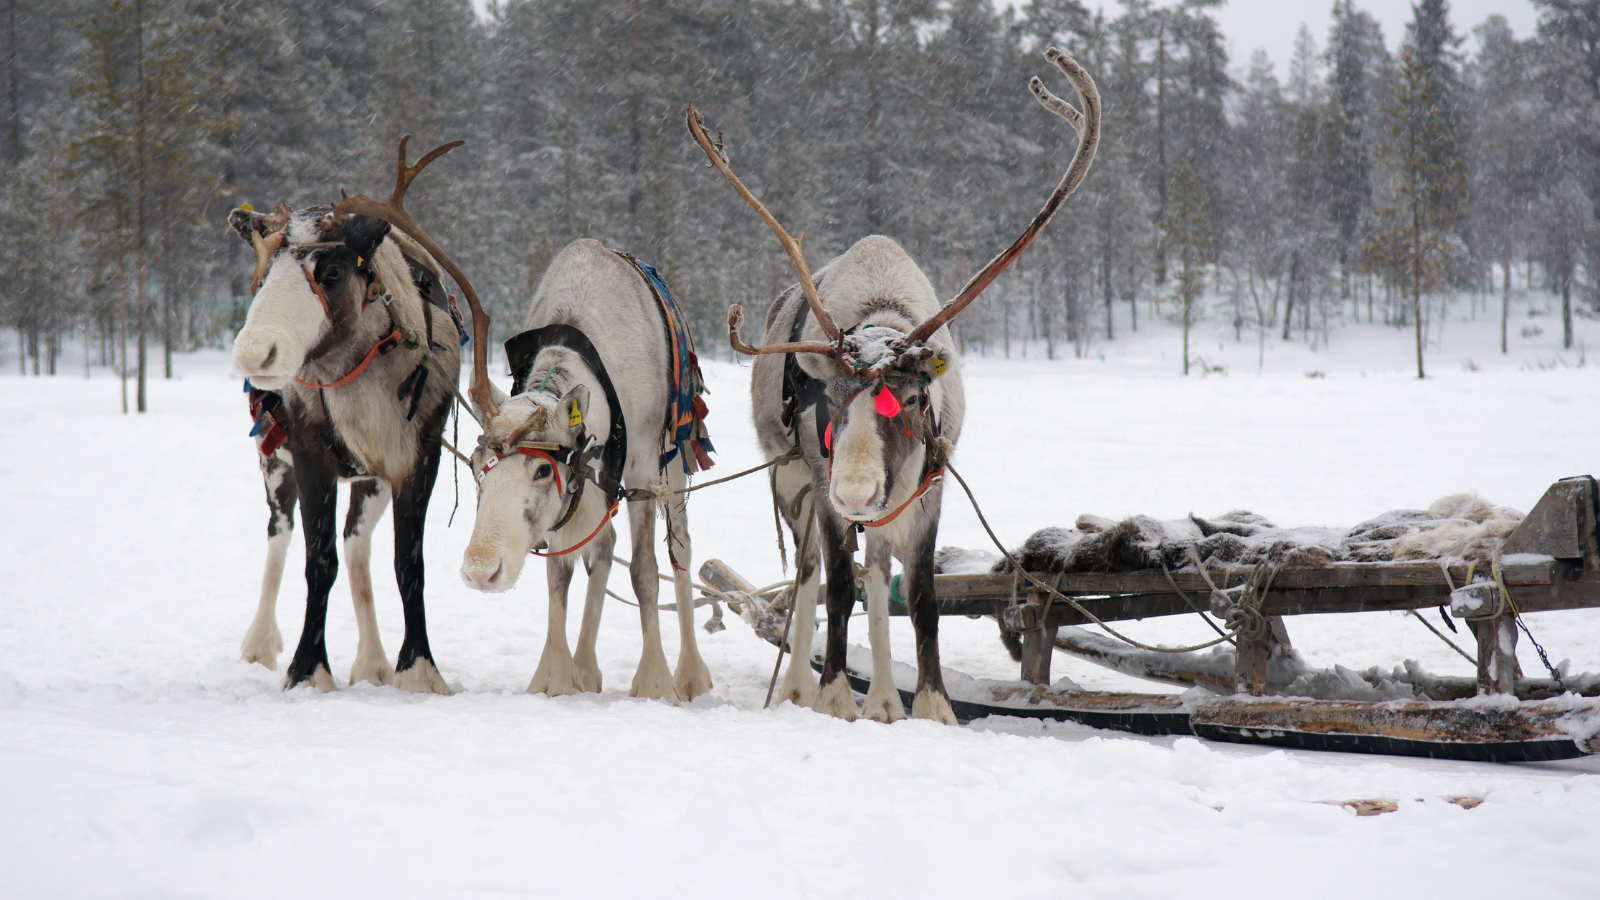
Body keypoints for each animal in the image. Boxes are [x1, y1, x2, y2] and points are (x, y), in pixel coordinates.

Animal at [228, 137, 498, 693]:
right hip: (274, 461)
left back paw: (372, 660)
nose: (253, 354)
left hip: (369, 479)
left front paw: (417, 668)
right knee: (279, 533)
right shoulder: (310, 451)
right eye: (262, 277)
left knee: (357, 546)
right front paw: (308, 669)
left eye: (330, 272)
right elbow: (317, 561)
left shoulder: (417, 455)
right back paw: (259, 642)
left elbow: (407, 563)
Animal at [457, 239, 717, 704]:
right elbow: (559, 573)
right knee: (604, 543)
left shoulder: (642, 471)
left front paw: (655, 680)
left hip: (676, 464)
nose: (480, 571)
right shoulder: (576, 495)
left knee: (681, 552)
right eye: (474, 465)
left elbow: (645, 571)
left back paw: (690, 672)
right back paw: (585, 665)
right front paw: (557, 675)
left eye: (543, 471)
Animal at [685, 48, 1099, 723]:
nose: (856, 491)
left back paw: (883, 698)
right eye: (827, 399)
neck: (881, 322)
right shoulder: (822, 481)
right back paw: (798, 687)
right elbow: (837, 587)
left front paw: (931, 705)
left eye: (908, 399)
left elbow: (921, 596)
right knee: (809, 575)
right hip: (792, 479)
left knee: (879, 573)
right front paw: (831, 696)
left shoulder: (930, 485)